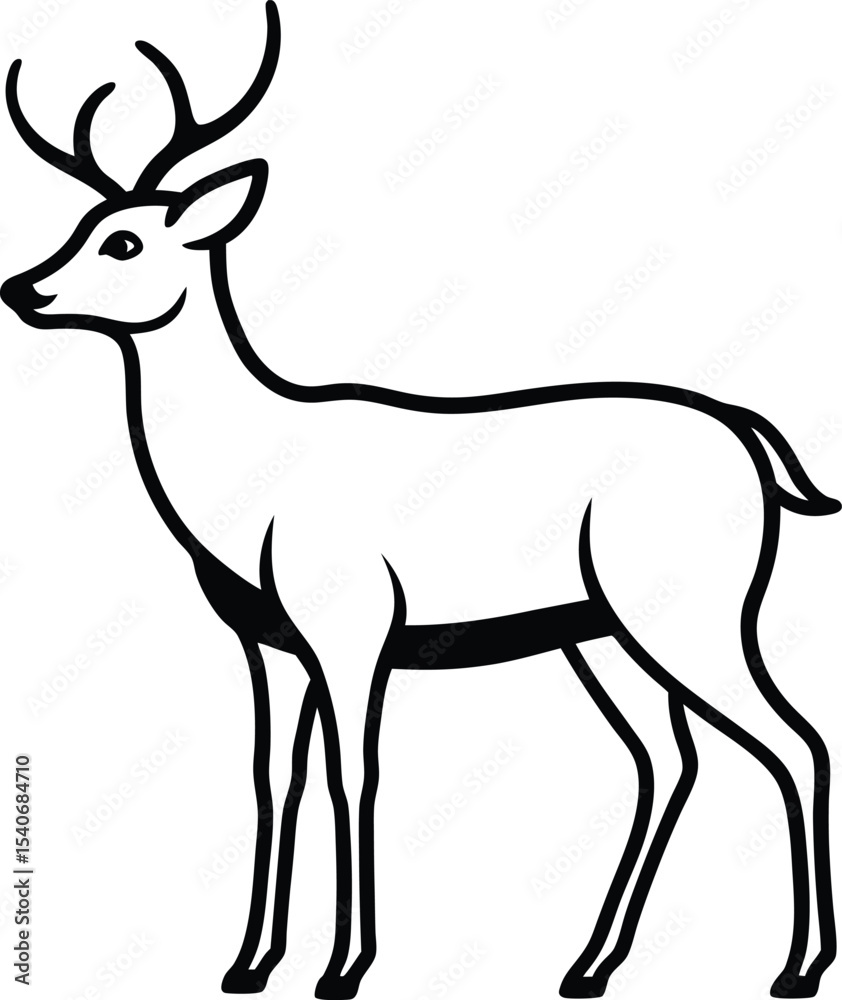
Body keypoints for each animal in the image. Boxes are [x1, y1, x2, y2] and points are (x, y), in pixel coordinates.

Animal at [1, 4, 838, 998]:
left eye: (125, 239)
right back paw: (588, 965)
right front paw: (248, 965)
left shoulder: (355, 624)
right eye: (82, 220)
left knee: (795, 740)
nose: (21, 287)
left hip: (691, 609)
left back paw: (795, 969)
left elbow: (353, 774)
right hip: (601, 630)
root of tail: (749, 436)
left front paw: (343, 969)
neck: (246, 484)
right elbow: (271, 778)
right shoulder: (266, 641)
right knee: (673, 759)